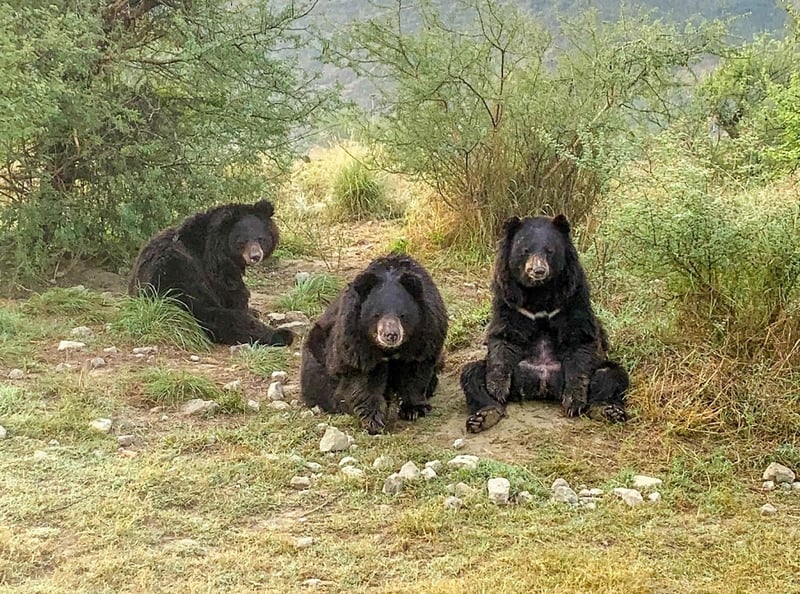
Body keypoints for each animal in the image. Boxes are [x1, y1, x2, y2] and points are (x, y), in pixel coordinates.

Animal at [128, 200, 294, 344]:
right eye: (242, 241)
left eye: (261, 239)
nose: (255, 256)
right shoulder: (213, 268)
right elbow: (232, 294)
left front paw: (253, 310)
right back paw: (281, 335)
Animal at [302, 252, 450, 432]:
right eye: (376, 315)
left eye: (402, 315)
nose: (391, 335)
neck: (390, 350)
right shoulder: (356, 341)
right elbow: (364, 379)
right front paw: (374, 421)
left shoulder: (426, 333)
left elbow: (415, 369)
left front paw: (414, 409)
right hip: (318, 351)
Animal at [460, 213, 628, 430]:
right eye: (525, 250)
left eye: (550, 251)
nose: (538, 270)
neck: (539, 291)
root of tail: (543, 384)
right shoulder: (509, 299)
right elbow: (504, 336)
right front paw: (497, 389)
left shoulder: (572, 296)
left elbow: (579, 337)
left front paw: (573, 401)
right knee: (471, 374)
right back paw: (484, 415)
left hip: (597, 369)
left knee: (611, 375)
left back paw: (608, 410)